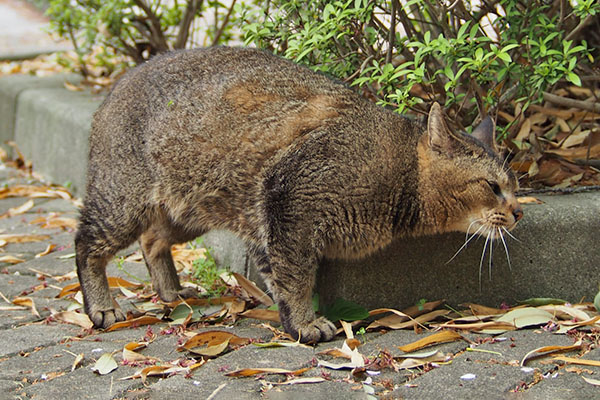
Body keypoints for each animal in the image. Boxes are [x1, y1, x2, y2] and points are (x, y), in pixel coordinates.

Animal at [75, 46, 524, 340]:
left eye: (516, 188)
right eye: (493, 187)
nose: (519, 212)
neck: (398, 162)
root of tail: (118, 82)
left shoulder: (264, 225)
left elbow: (280, 276)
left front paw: (292, 318)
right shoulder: (288, 203)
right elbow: (296, 278)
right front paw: (305, 323)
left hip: (190, 209)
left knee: (152, 241)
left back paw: (169, 290)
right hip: (123, 203)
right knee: (86, 245)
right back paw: (102, 306)